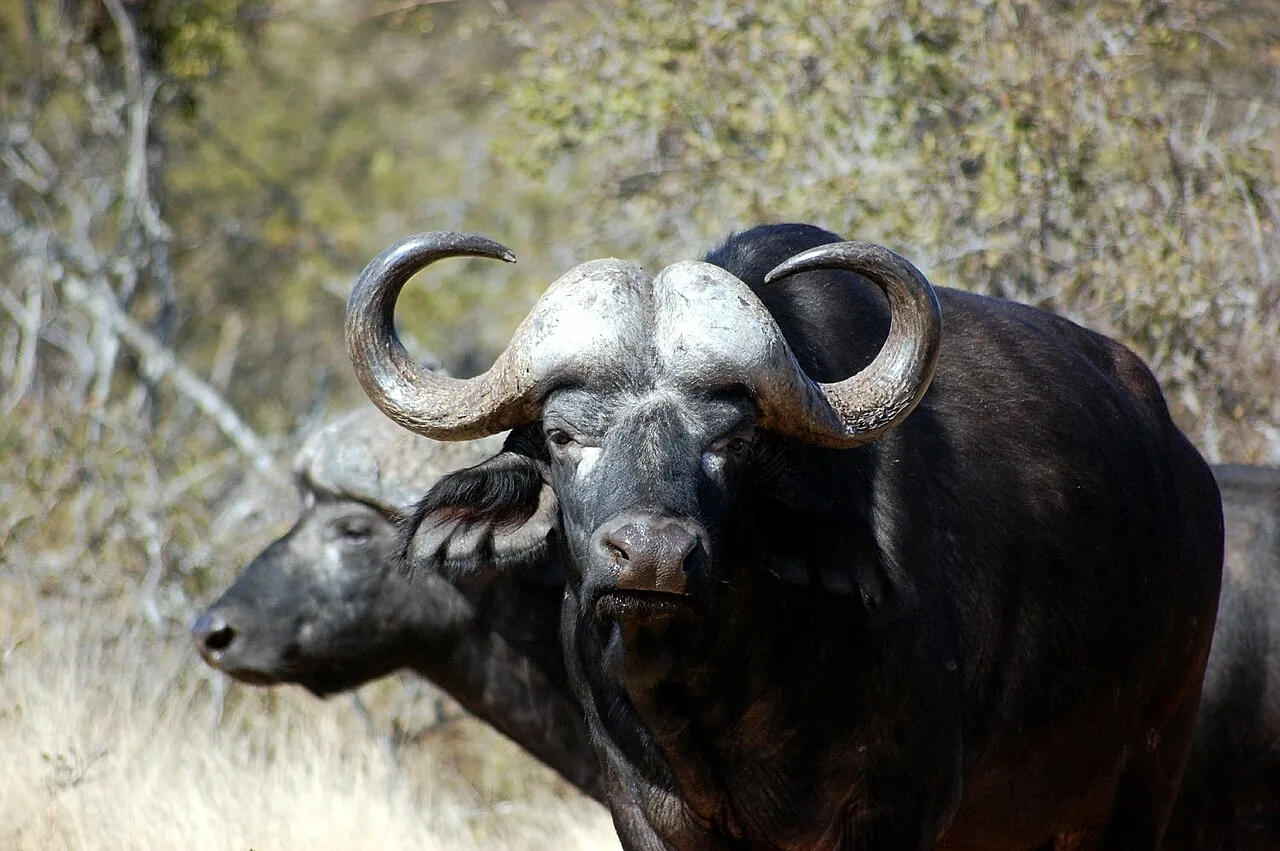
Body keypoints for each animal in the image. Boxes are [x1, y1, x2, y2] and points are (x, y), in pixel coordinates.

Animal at [346, 223, 1223, 850]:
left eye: (733, 440)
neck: (724, 687)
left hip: (1142, 777)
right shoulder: (643, 812)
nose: (653, 556)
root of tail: (1189, 474)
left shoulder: (895, 813)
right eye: (562, 435)